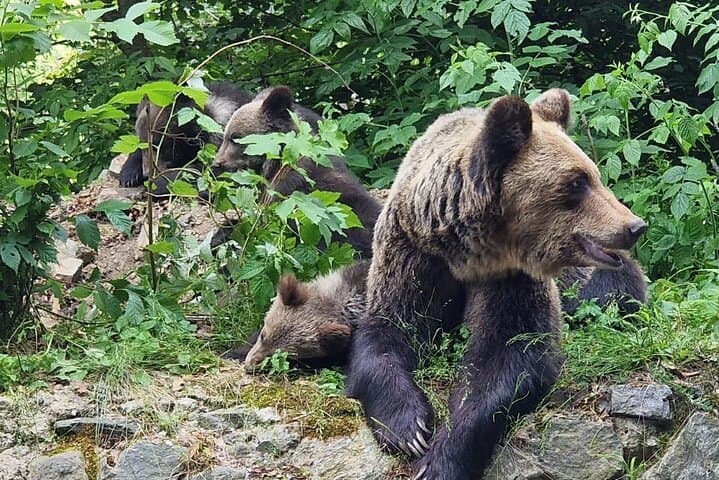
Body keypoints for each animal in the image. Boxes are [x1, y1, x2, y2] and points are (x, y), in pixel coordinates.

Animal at [344, 89, 647, 480]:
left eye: (593, 175)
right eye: (577, 182)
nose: (634, 226)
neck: (467, 250)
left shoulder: (512, 276)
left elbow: (511, 354)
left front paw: (440, 460)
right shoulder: (414, 251)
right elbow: (388, 332)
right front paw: (409, 429)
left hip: (589, 278)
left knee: (613, 290)